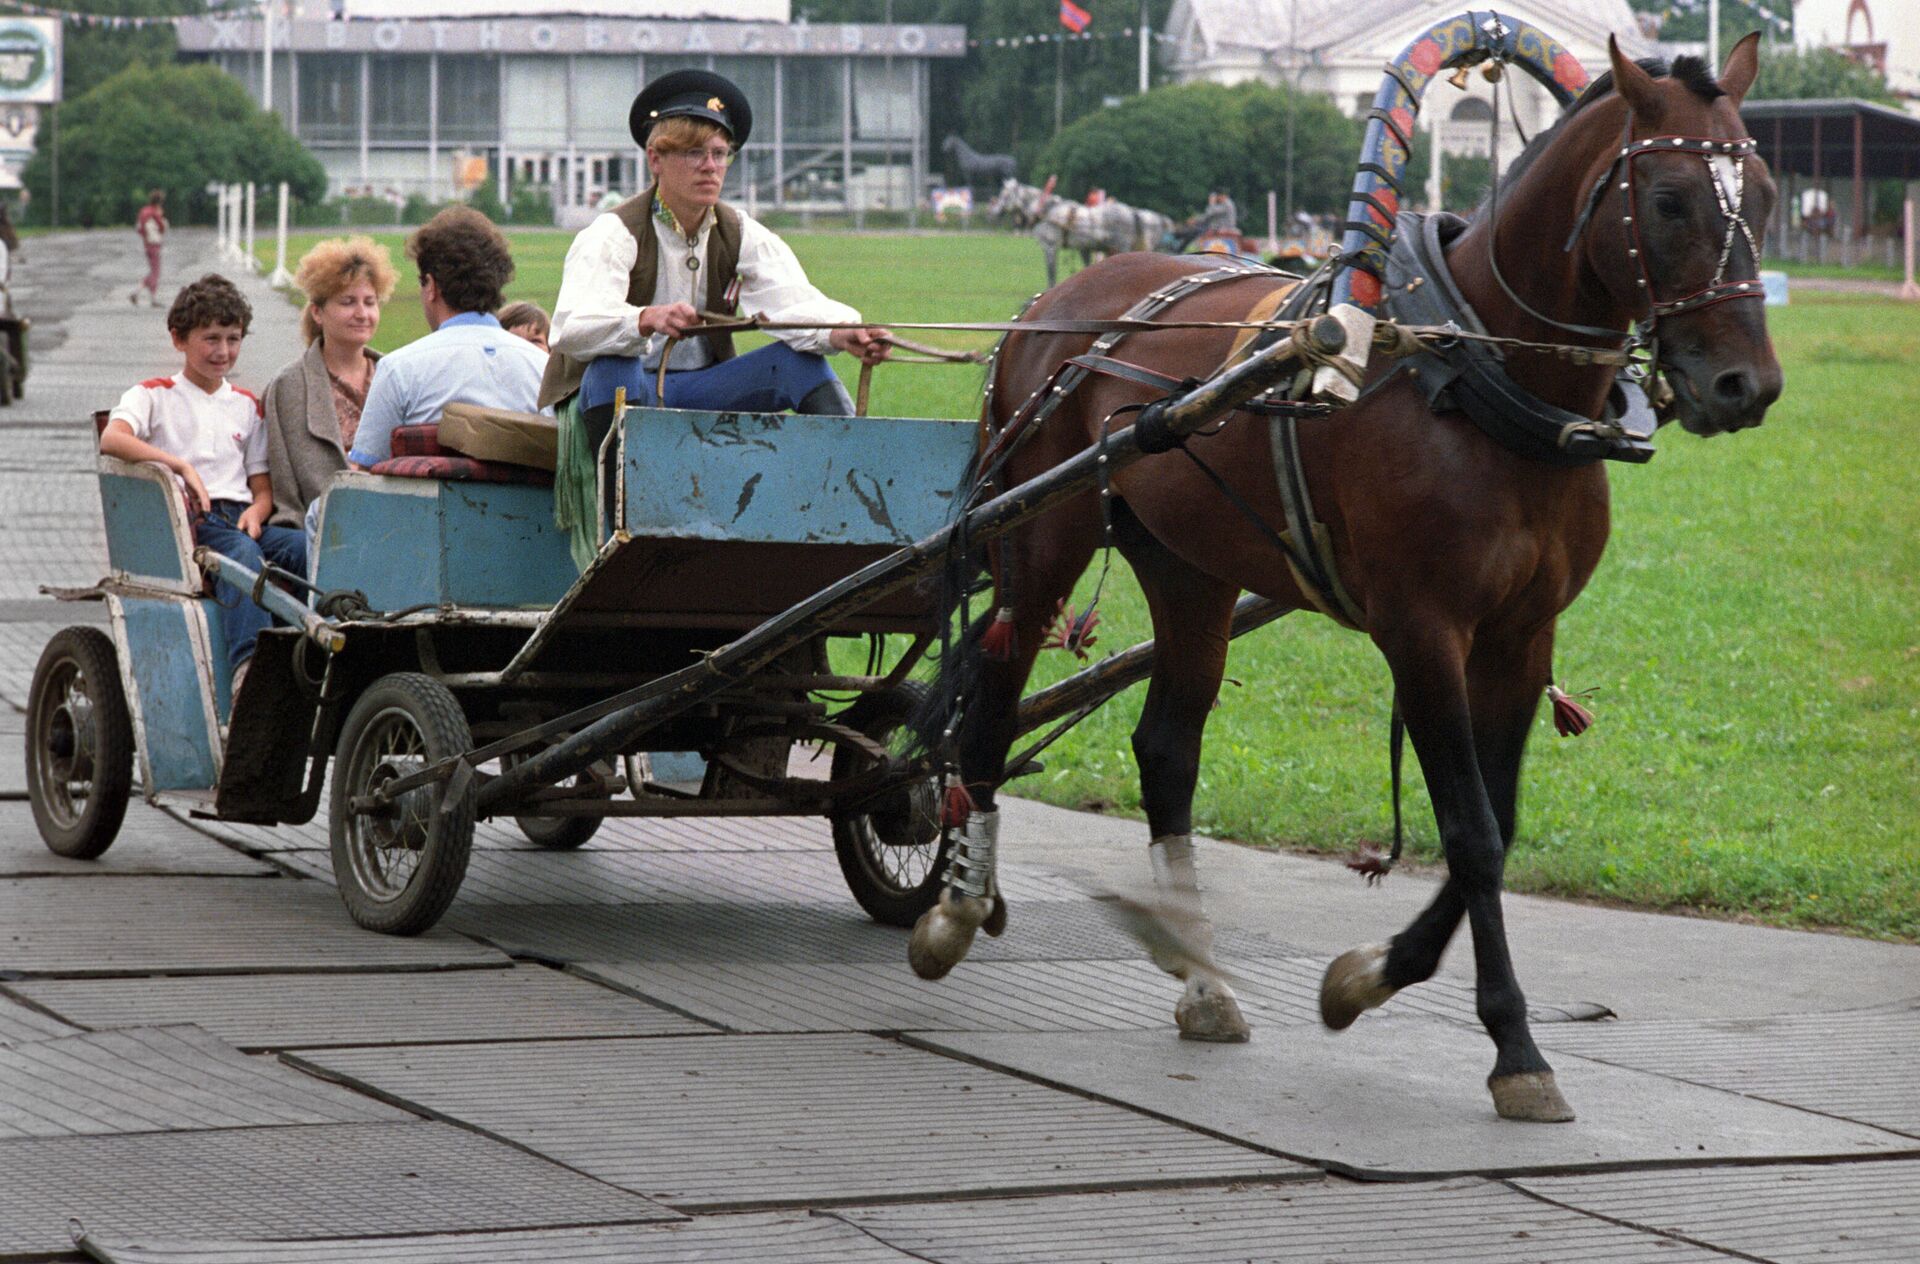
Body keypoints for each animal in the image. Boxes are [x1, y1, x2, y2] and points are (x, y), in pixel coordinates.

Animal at [998, 178, 1175, 286]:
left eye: (1005, 195)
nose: (996, 211)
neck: (1047, 211)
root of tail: (1131, 212)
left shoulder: (1050, 246)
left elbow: (1051, 272)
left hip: (1121, 247)